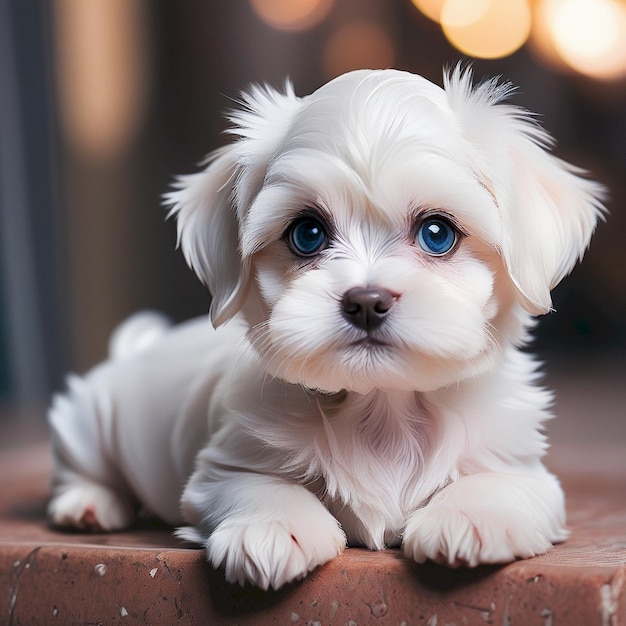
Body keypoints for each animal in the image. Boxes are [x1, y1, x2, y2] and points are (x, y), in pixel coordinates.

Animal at [48, 69, 604, 588]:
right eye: (308, 234)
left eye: (437, 233)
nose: (366, 301)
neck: (382, 406)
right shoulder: (220, 468)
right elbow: (259, 485)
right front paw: (272, 529)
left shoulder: (523, 467)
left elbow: (497, 482)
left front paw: (470, 517)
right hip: (89, 418)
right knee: (81, 464)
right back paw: (88, 504)